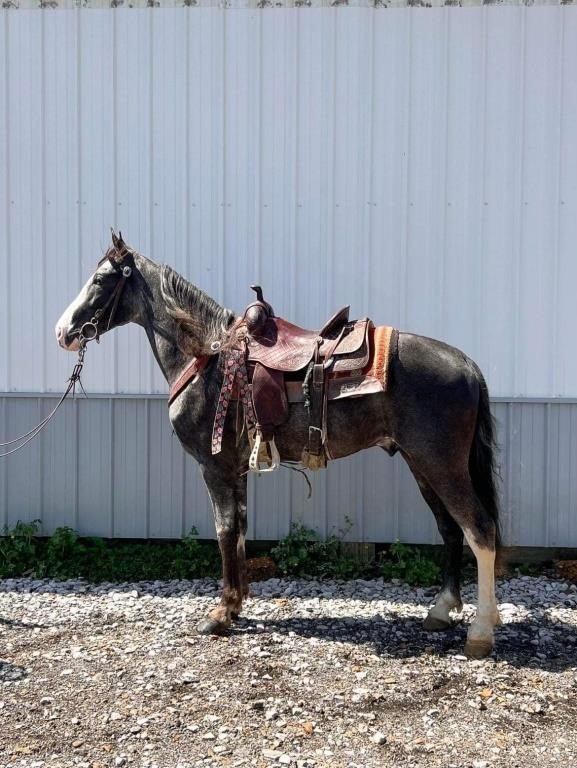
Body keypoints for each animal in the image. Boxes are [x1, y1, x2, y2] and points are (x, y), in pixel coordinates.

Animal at [56, 232, 502, 660]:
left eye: (101, 279)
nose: (62, 332)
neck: (208, 357)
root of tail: (465, 363)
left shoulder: (213, 468)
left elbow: (224, 530)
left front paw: (220, 614)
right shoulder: (235, 470)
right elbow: (239, 530)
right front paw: (235, 606)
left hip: (441, 465)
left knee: (480, 530)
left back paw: (480, 632)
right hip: (421, 464)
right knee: (451, 530)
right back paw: (442, 610)